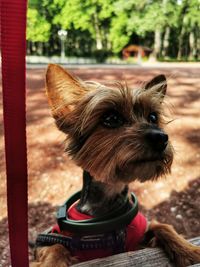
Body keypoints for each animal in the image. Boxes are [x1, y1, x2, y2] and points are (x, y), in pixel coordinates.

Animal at [30, 65, 200, 267]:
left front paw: (189, 250)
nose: (161, 137)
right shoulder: (49, 238)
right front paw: (53, 262)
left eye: (153, 117)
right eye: (111, 119)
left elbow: (162, 226)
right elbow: (55, 247)